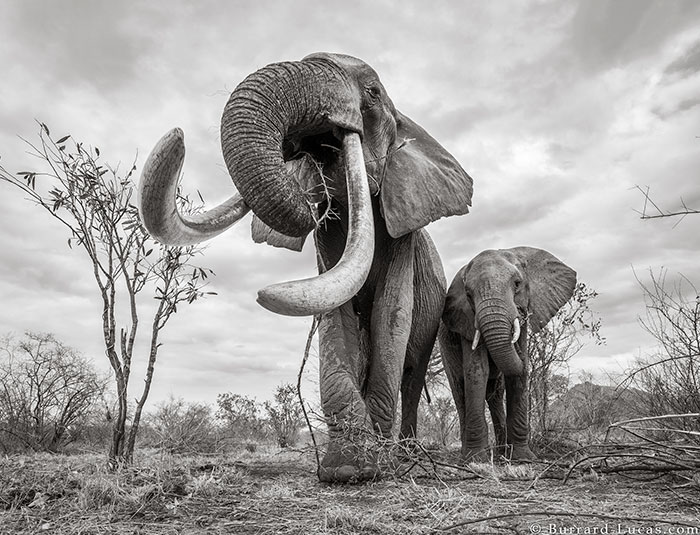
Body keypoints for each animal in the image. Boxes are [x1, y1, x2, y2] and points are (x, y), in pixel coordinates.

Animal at [137, 53, 473, 482]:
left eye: (373, 92)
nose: (307, 199)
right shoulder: (326, 242)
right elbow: (335, 316)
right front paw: (347, 468)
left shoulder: (405, 231)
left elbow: (391, 313)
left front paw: (375, 466)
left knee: (412, 372)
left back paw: (407, 454)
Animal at [439, 247, 576, 462]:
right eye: (468, 294)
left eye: (517, 284)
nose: (515, 346)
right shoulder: (466, 321)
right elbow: (477, 371)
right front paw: (476, 459)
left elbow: (518, 375)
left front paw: (522, 458)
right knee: (460, 390)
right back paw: (468, 453)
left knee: (495, 393)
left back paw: (501, 452)